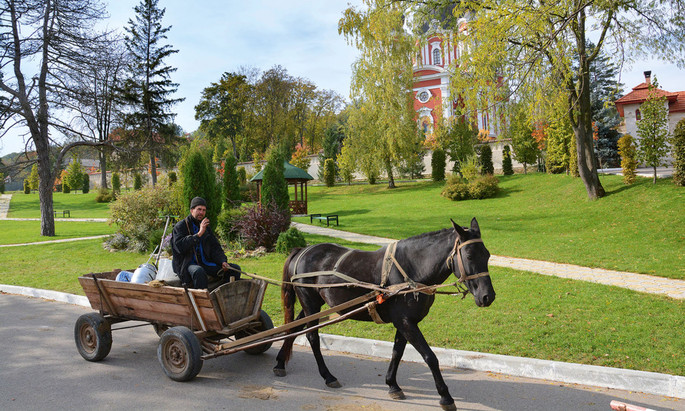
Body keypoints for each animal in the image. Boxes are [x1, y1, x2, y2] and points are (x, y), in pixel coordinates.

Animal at [272, 217, 496, 410]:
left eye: (487, 254)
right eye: (469, 256)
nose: (488, 296)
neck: (411, 270)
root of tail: (303, 250)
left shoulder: (405, 322)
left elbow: (397, 352)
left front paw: (392, 385)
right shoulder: (405, 322)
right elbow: (430, 357)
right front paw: (445, 396)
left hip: (311, 305)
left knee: (295, 328)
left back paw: (281, 362)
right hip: (310, 303)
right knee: (312, 337)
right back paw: (328, 376)